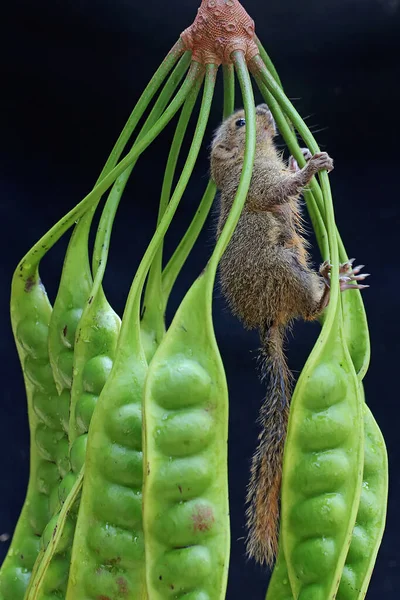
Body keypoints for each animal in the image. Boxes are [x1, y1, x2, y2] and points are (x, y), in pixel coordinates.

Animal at [211, 103, 368, 568]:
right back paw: (333, 285)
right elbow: (281, 191)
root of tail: (269, 323)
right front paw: (312, 167)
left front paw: (302, 158)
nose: (263, 106)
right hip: (285, 265)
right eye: (241, 122)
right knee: (313, 311)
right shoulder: (261, 183)